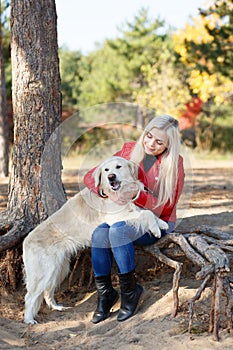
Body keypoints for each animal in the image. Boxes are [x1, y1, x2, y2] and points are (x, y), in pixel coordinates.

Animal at [22, 157, 167, 324]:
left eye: (118, 167)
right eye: (106, 170)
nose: (111, 177)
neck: (116, 192)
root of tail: (26, 241)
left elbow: (147, 211)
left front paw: (162, 223)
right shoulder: (116, 217)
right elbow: (146, 213)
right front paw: (155, 229)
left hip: (60, 269)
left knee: (48, 291)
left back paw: (57, 307)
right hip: (45, 271)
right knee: (30, 296)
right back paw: (29, 319)